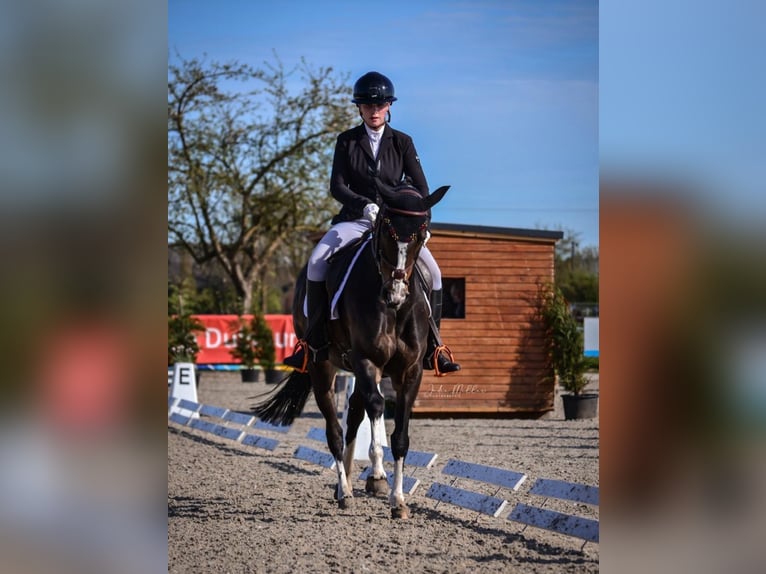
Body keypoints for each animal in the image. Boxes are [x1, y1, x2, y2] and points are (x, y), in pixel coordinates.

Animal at [255, 182, 452, 520]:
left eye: (421, 231)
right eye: (385, 226)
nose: (395, 294)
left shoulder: (410, 371)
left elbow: (400, 436)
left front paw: (398, 500)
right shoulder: (367, 360)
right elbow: (377, 411)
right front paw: (378, 475)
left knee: (353, 418)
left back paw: (348, 482)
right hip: (323, 367)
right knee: (335, 430)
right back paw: (345, 490)